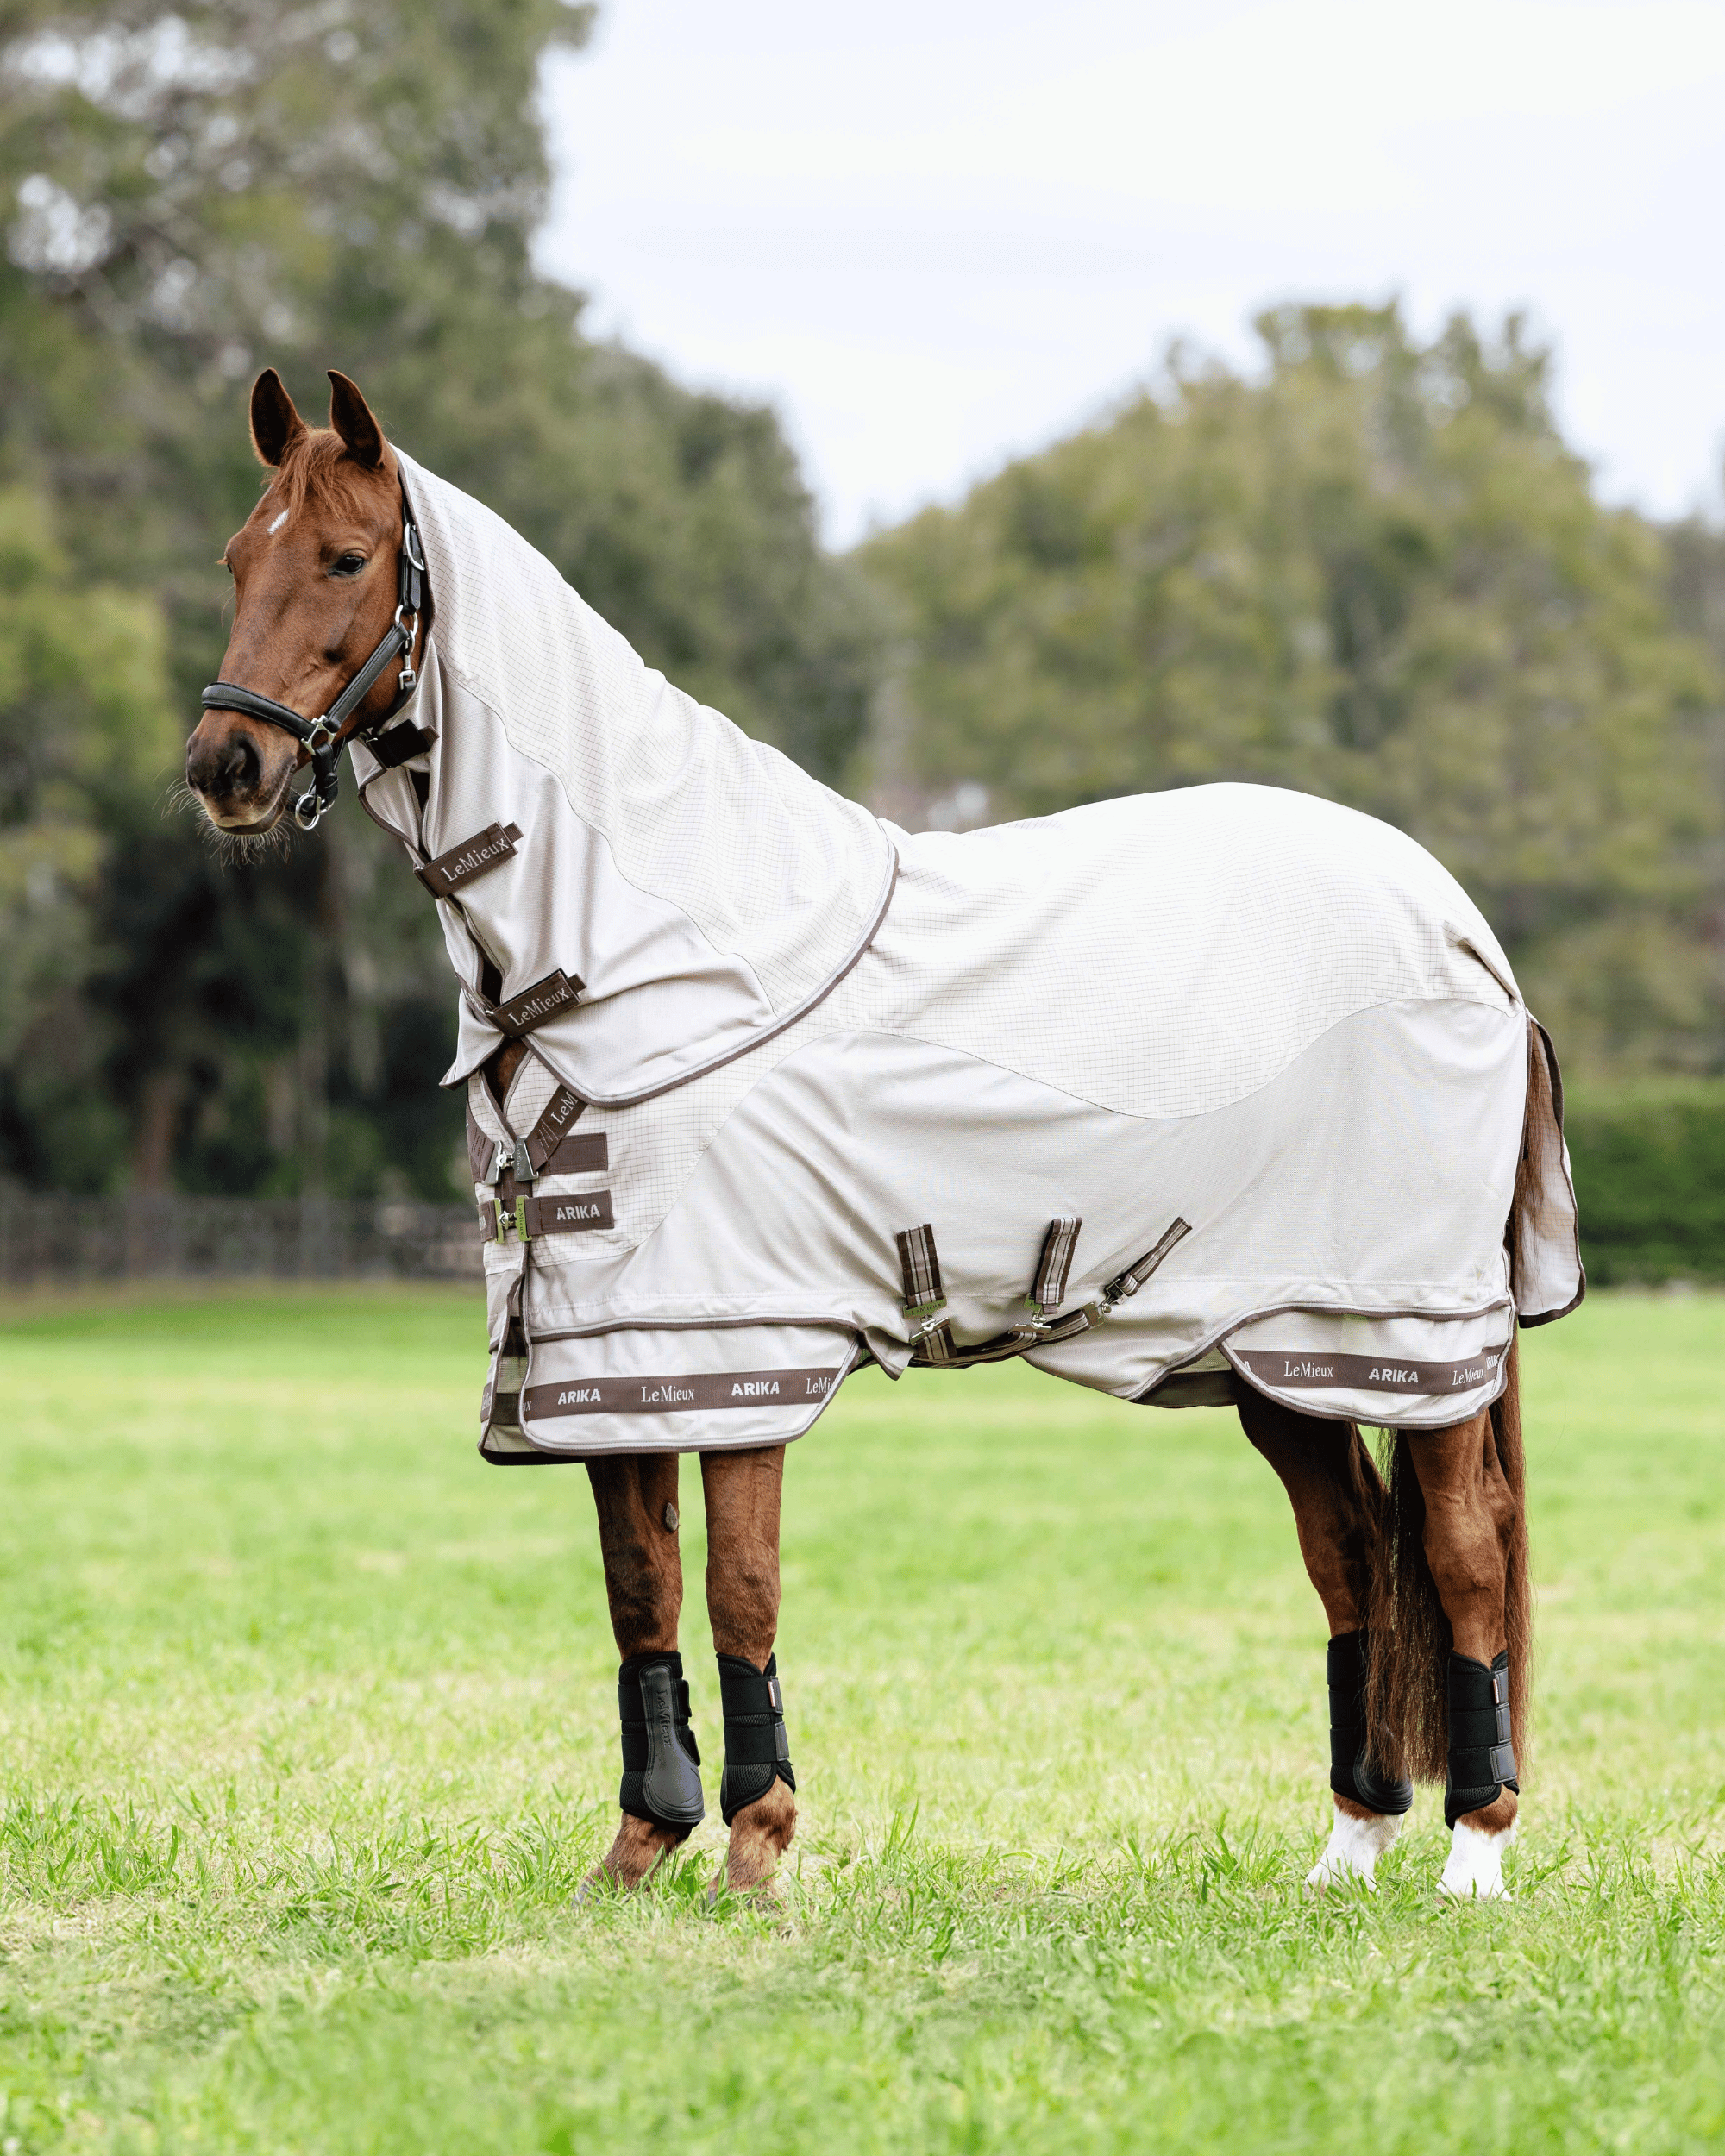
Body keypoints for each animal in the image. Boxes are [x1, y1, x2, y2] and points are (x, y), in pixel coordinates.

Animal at [184, 368, 1583, 1902]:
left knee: (1459, 1547)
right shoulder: (613, 1364)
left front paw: (756, 1851)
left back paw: (1473, 1852)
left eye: (346, 559)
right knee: (1349, 1555)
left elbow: (738, 1586)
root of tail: (1461, 930)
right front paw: (639, 1851)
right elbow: (638, 1591)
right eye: (237, 560)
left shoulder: (740, 1344)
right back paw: (1351, 1845)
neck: (648, 952)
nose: (224, 765)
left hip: (1409, 1336)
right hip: (1278, 1350)